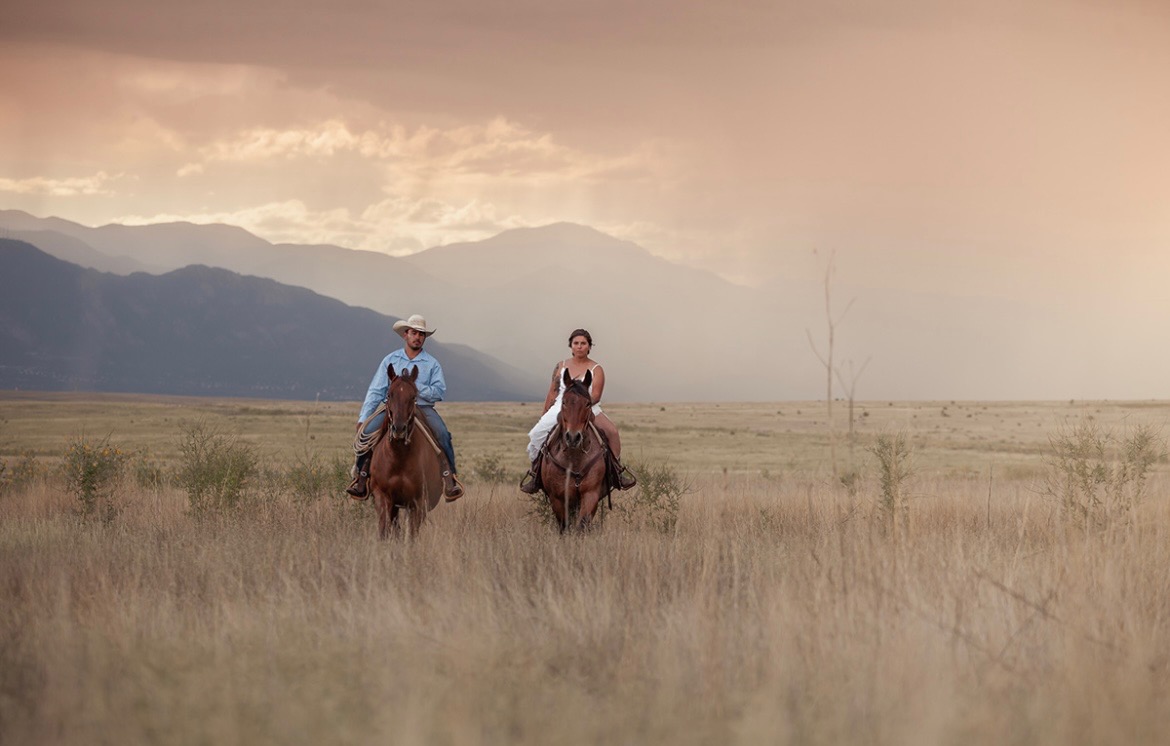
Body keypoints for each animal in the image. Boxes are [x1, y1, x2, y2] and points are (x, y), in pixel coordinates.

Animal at [367, 364, 444, 540]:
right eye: (389, 394)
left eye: (414, 396)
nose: (399, 429)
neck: (399, 458)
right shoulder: (382, 496)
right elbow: (384, 530)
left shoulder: (418, 502)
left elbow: (411, 536)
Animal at [540, 369, 613, 533]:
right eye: (564, 402)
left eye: (587, 403)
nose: (573, 437)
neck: (574, 458)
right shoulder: (557, 498)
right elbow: (564, 526)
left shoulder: (590, 494)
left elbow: (582, 525)